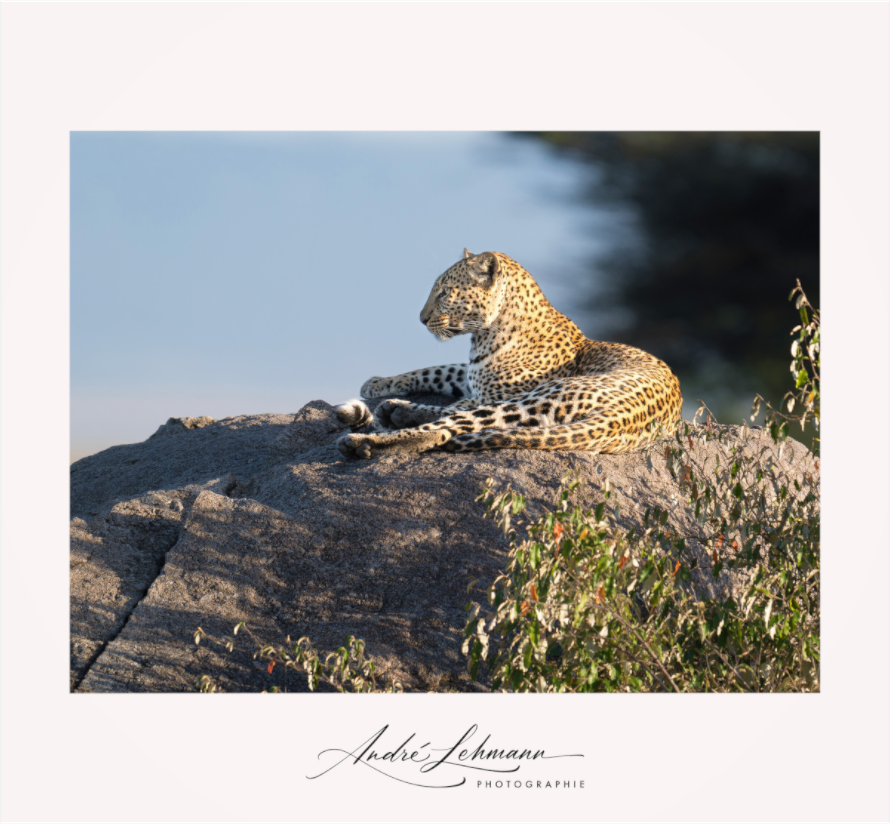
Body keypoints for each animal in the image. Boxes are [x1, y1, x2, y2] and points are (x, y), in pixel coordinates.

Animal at [334, 249, 683, 460]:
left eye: (445, 292)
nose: (421, 318)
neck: (484, 333)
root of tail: (623, 418)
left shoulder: (496, 391)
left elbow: (455, 403)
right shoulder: (472, 374)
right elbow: (435, 370)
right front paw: (377, 383)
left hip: (540, 398)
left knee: (449, 428)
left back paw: (366, 441)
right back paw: (394, 410)